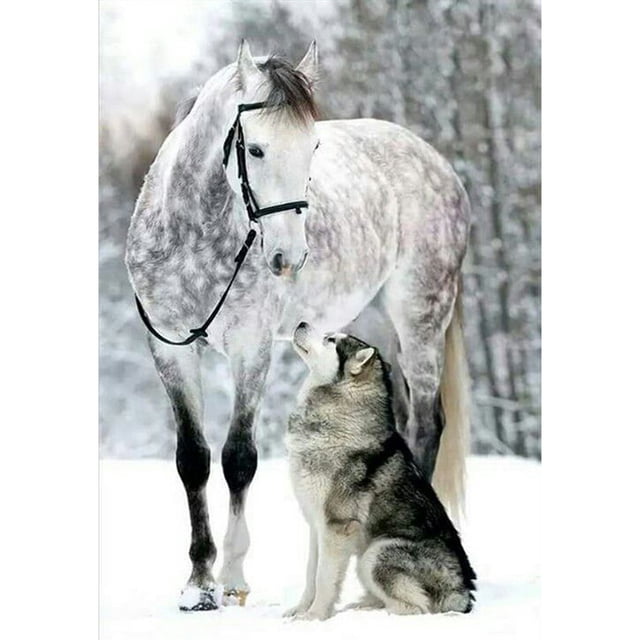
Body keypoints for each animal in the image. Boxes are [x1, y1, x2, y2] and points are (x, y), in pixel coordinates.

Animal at [125, 41, 471, 611]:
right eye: (256, 149)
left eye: (313, 147)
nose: (289, 256)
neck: (194, 236)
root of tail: (435, 161)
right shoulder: (170, 350)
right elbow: (193, 459)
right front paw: (199, 585)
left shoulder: (252, 348)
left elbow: (238, 458)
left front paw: (234, 579)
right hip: (373, 327)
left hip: (421, 317)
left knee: (426, 424)